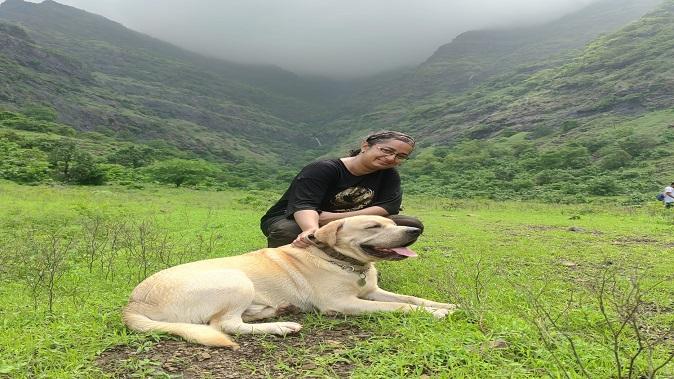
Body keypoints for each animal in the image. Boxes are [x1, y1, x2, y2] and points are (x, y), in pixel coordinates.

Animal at [122, 215, 454, 348]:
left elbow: (410, 299)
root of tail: (133, 305)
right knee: (225, 325)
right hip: (236, 280)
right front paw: (436, 313)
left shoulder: (372, 291)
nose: (413, 232)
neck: (343, 261)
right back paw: (281, 326)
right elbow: (400, 308)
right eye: (373, 226)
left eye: (392, 223)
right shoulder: (342, 303)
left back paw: (278, 311)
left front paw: (445, 305)